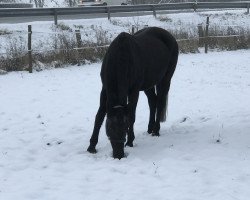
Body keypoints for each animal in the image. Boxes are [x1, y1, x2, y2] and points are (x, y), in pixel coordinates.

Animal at [87, 26, 179, 159]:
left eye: (125, 128)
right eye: (110, 127)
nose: (118, 155)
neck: (121, 56)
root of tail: (169, 35)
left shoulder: (134, 91)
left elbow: (131, 115)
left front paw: (130, 141)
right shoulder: (104, 89)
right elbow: (99, 116)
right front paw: (91, 147)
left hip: (165, 79)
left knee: (160, 102)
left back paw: (156, 131)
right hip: (148, 85)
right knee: (153, 101)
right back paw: (150, 128)